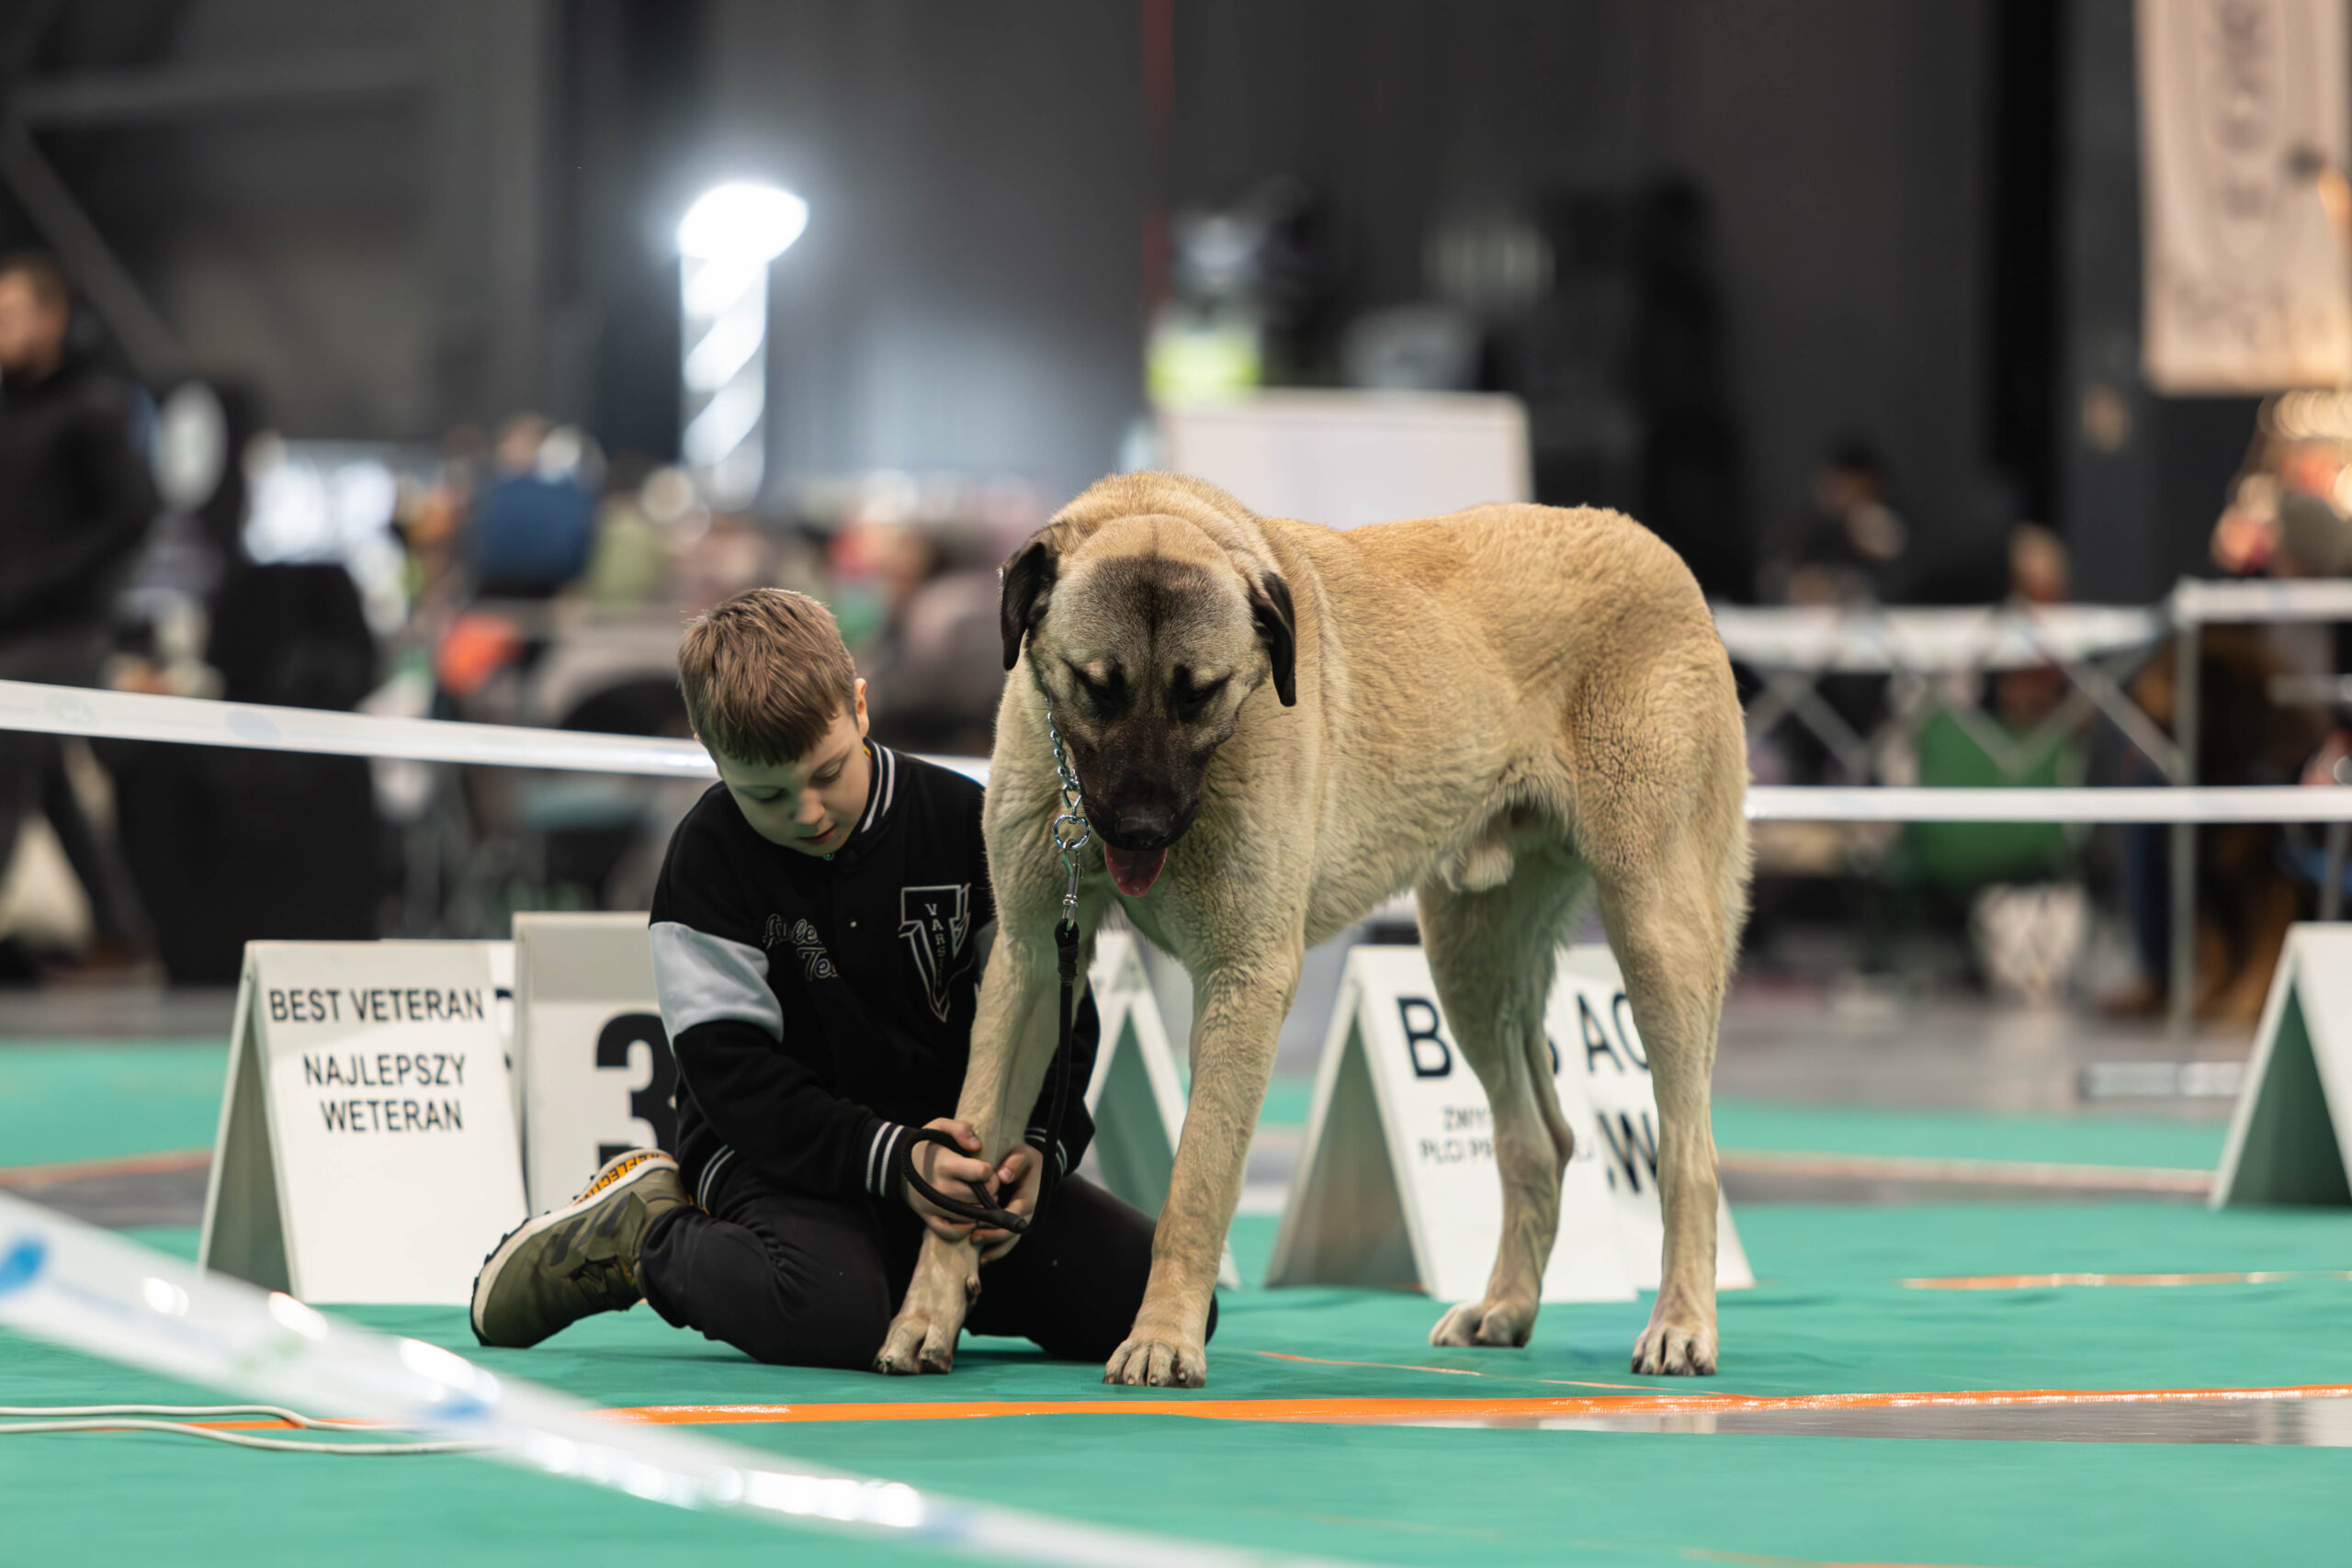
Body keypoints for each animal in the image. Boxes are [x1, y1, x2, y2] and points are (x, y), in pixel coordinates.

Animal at [874, 472, 1751, 1386]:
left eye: (1200, 693)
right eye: (1096, 686)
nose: (1143, 829)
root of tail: (1654, 549)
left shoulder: (1244, 977)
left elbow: (1196, 1184)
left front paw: (1162, 1338)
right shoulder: (1032, 958)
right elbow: (972, 1148)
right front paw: (926, 1315)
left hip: (1655, 930)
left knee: (1687, 1151)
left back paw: (1681, 1323)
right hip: (1471, 963)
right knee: (1536, 1140)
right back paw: (1504, 1306)